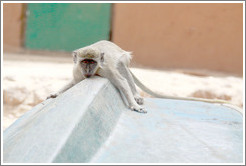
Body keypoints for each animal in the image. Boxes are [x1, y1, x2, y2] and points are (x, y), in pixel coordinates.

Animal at [48, 40, 229, 113]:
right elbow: (74, 82)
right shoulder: (77, 71)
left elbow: (121, 82)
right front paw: (56, 93)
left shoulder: (106, 69)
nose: (88, 68)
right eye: (85, 61)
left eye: (92, 62)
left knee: (123, 68)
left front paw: (134, 104)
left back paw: (135, 94)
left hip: (122, 58)